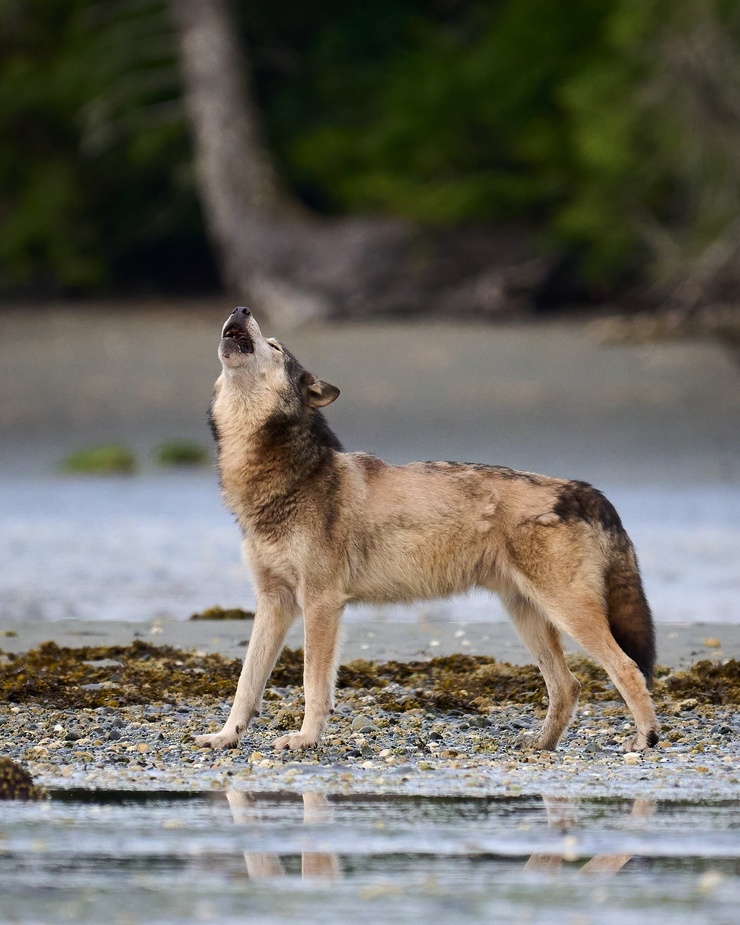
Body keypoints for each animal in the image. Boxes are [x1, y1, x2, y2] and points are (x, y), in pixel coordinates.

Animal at [195, 307, 659, 754]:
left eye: (274, 345)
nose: (240, 308)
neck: (286, 475)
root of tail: (585, 489)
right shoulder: (274, 601)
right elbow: (246, 683)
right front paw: (225, 737)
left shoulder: (321, 602)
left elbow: (313, 683)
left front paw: (306, 739)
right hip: (527, 615)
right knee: (569, 685)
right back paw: (539, 746)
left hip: (568, 612)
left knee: (627, 668)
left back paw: (645, 739)